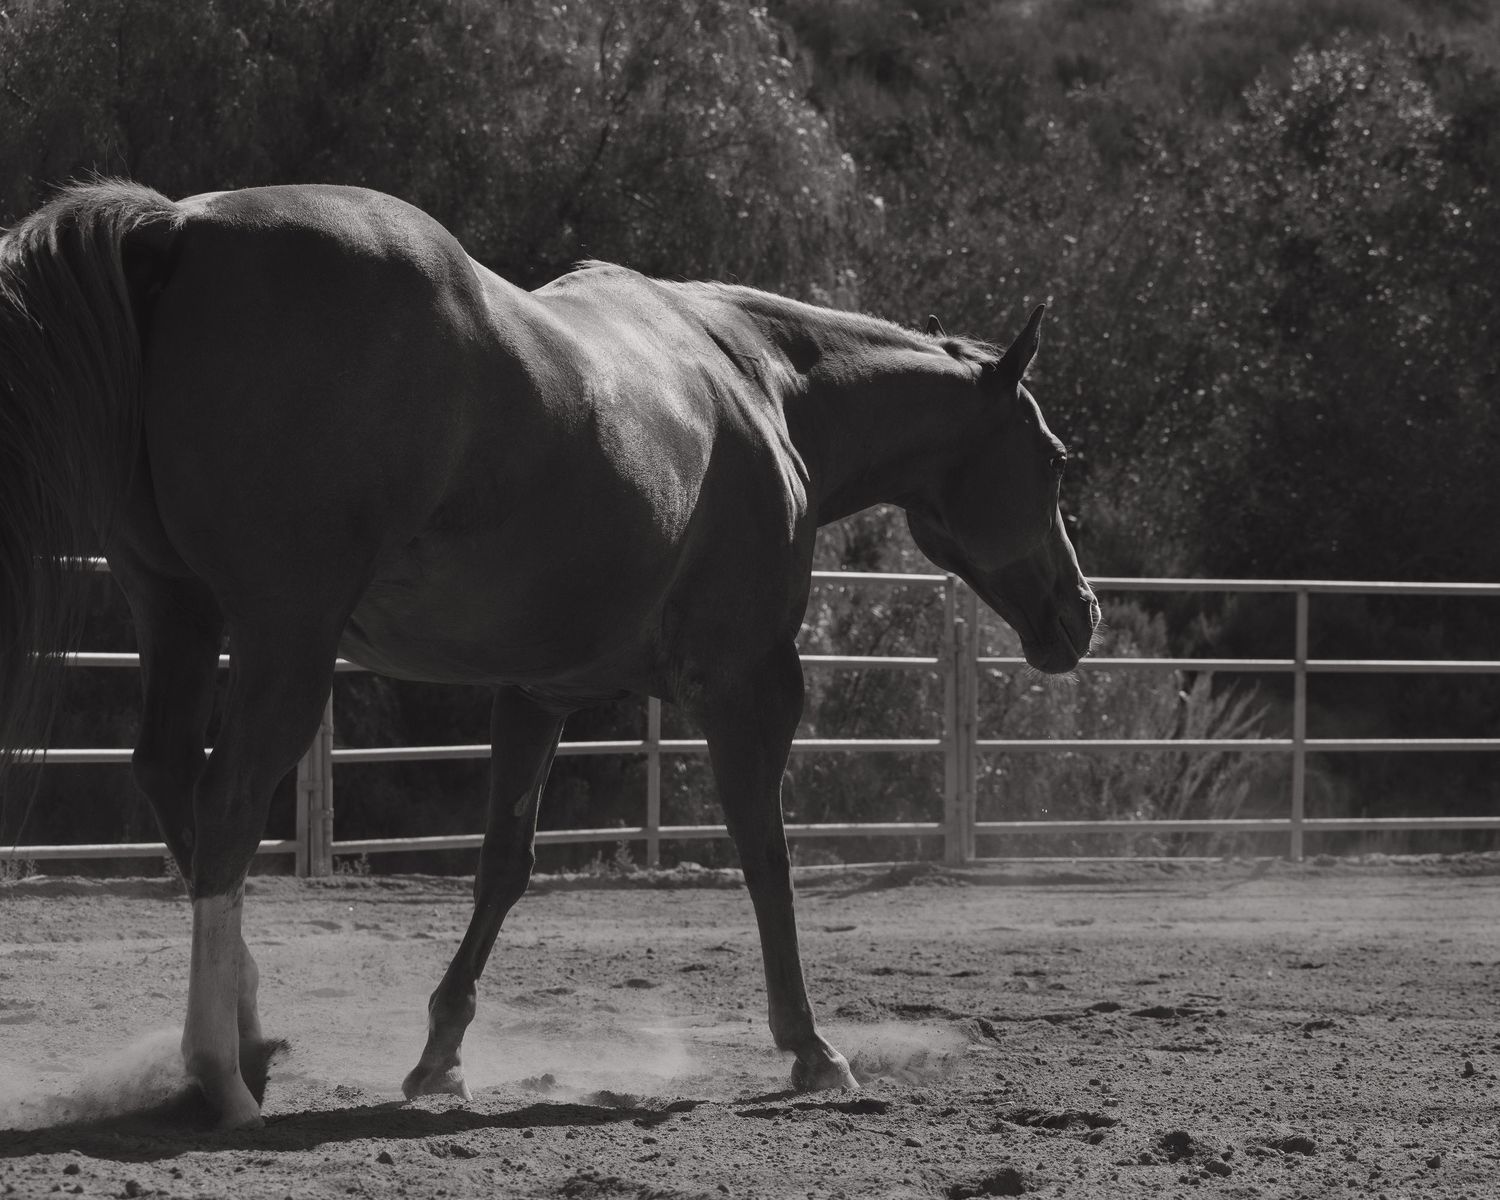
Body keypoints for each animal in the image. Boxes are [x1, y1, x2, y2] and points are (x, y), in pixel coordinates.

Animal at [0, 181, 1098, 1129]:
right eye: (1053, 461)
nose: (1080, 615)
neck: (762, 383)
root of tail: (177, 229)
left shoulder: (537, 694)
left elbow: (505, 865)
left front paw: (440, 1056)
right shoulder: (749, 684)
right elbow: (766, 854)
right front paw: (811, 1047)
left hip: (180, 614)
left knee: (168, 777)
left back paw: (254, 1034)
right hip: (286, 641)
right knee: (225, 807)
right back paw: (219, 1073)